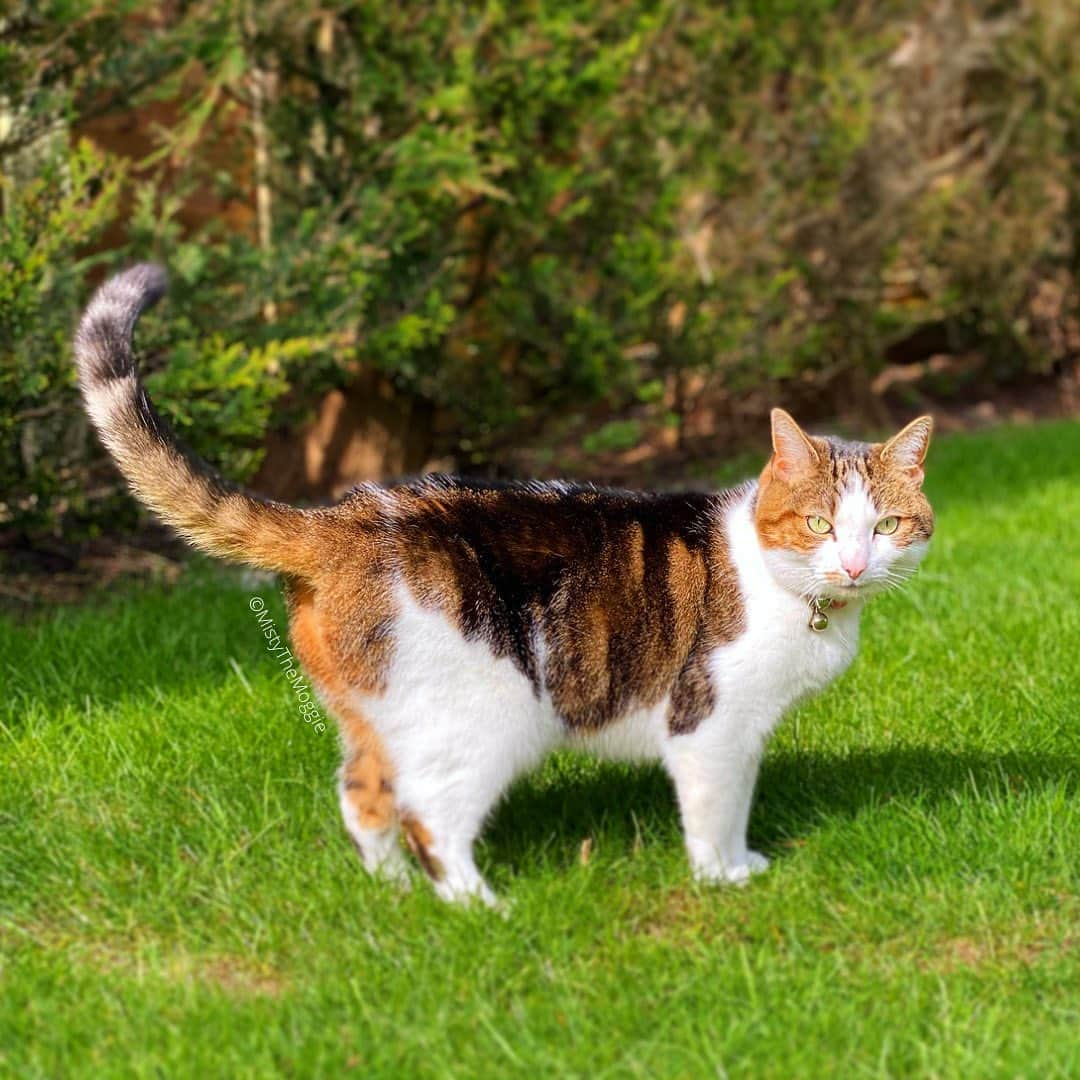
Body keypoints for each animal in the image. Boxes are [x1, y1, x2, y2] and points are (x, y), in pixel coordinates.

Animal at [76, 265, 933, 907]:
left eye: (887, 525)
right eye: (820, 524)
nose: (855, 563)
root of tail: (345, 517)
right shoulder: (712, 724)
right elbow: (716, 807)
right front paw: (726, 875)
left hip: (380, 716)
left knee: (364, 797)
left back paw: (395, 895)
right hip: (485, 714)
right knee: (429, 816)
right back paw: (478, 907)